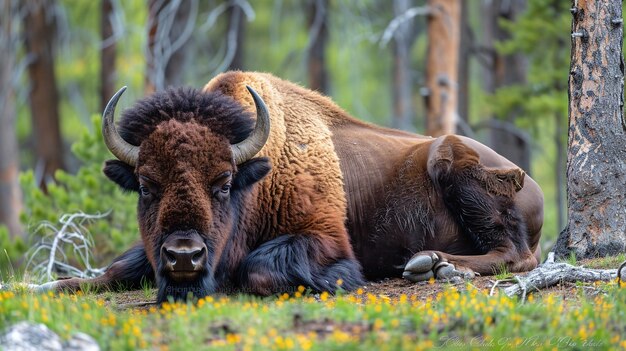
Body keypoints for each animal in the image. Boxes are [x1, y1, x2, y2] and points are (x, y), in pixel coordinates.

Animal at [41, 71, 544, 302]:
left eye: (224, 183)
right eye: (146, 185)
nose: (184, 256)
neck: (259, 177)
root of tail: (531, 183)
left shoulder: (326, 238)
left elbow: (259, 269)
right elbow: (115, 270)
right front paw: (52, 284)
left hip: (454, 167)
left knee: (516, 254)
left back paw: (435, 266)